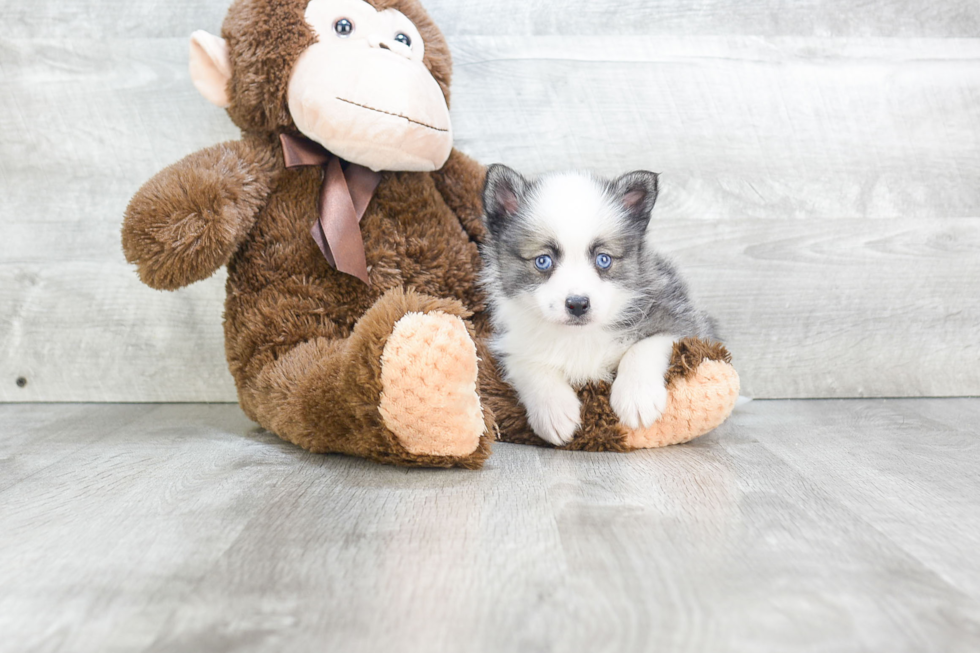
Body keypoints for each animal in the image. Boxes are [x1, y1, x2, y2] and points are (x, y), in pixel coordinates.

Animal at [478, 166, 716, 446]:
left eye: (603, 259)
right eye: (543, 261)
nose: (578, 304)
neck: (580, 335)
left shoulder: (680, 318)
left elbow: (646, 345)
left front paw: (637, 397)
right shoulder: (511, 342)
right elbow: (528, 363)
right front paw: (554, 411)